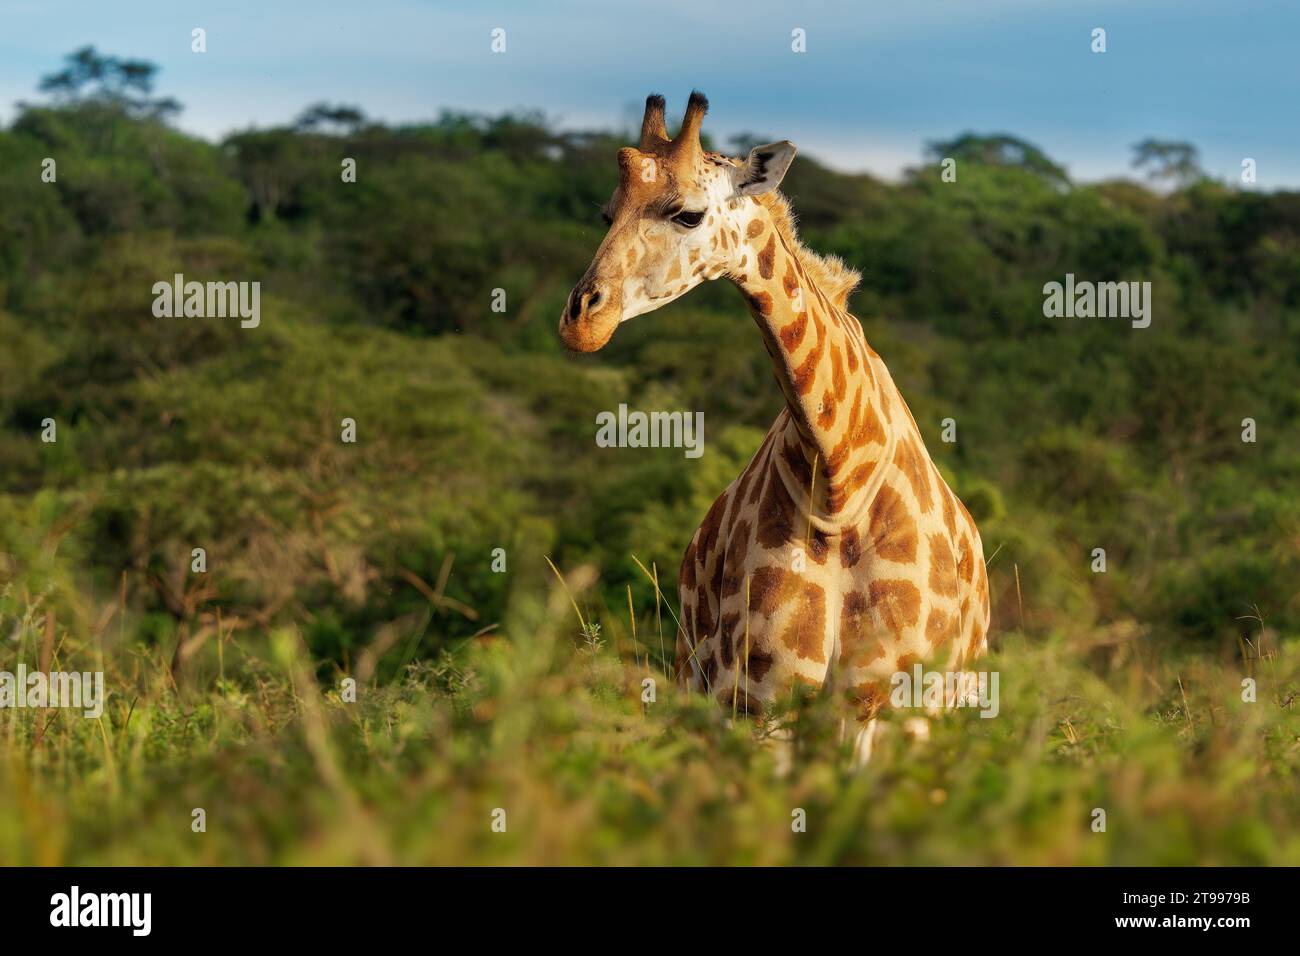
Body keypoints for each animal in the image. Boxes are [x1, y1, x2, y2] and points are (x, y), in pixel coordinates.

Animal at [559, 93, 991, 762]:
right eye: (607, 211)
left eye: (688, 214)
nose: (582, 321)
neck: (839, 476)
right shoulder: (764, 696)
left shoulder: (891, 704)